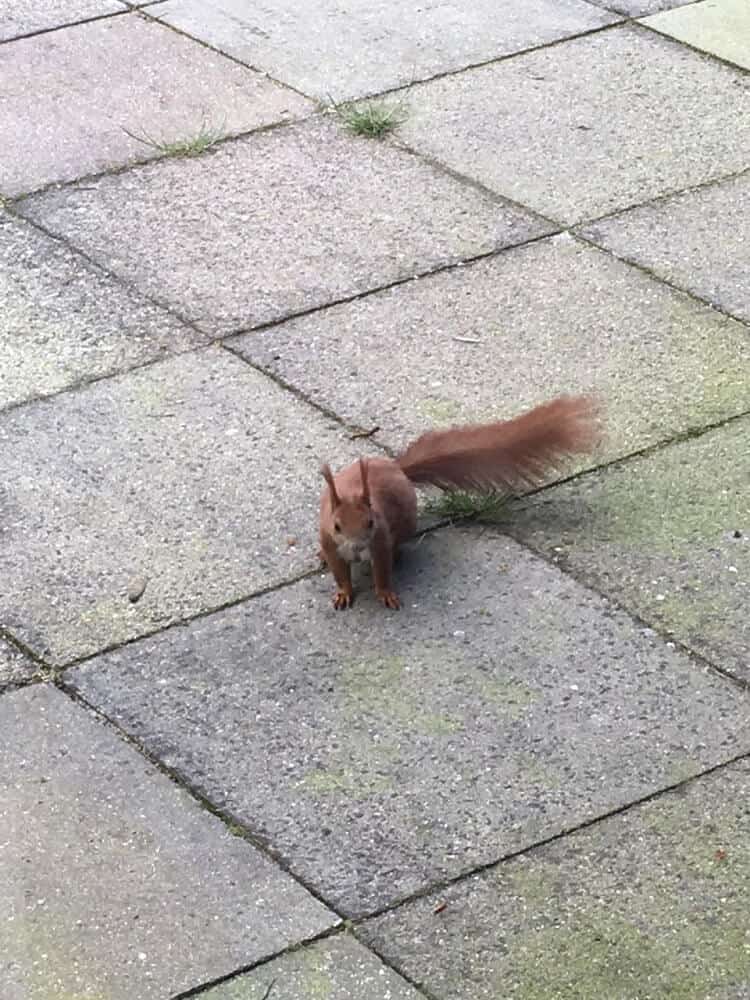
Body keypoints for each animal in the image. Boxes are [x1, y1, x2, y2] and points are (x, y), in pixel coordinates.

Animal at [319, 394, 601, 611]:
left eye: (370, 522)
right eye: (337, 526)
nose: (357, 547)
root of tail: (395, 467)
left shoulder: (380, 541)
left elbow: (382, 571)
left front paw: (386, 593)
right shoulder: (330, 542)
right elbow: (339, 572)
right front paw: (343, 593)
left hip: (405, 522)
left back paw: (398, 554)